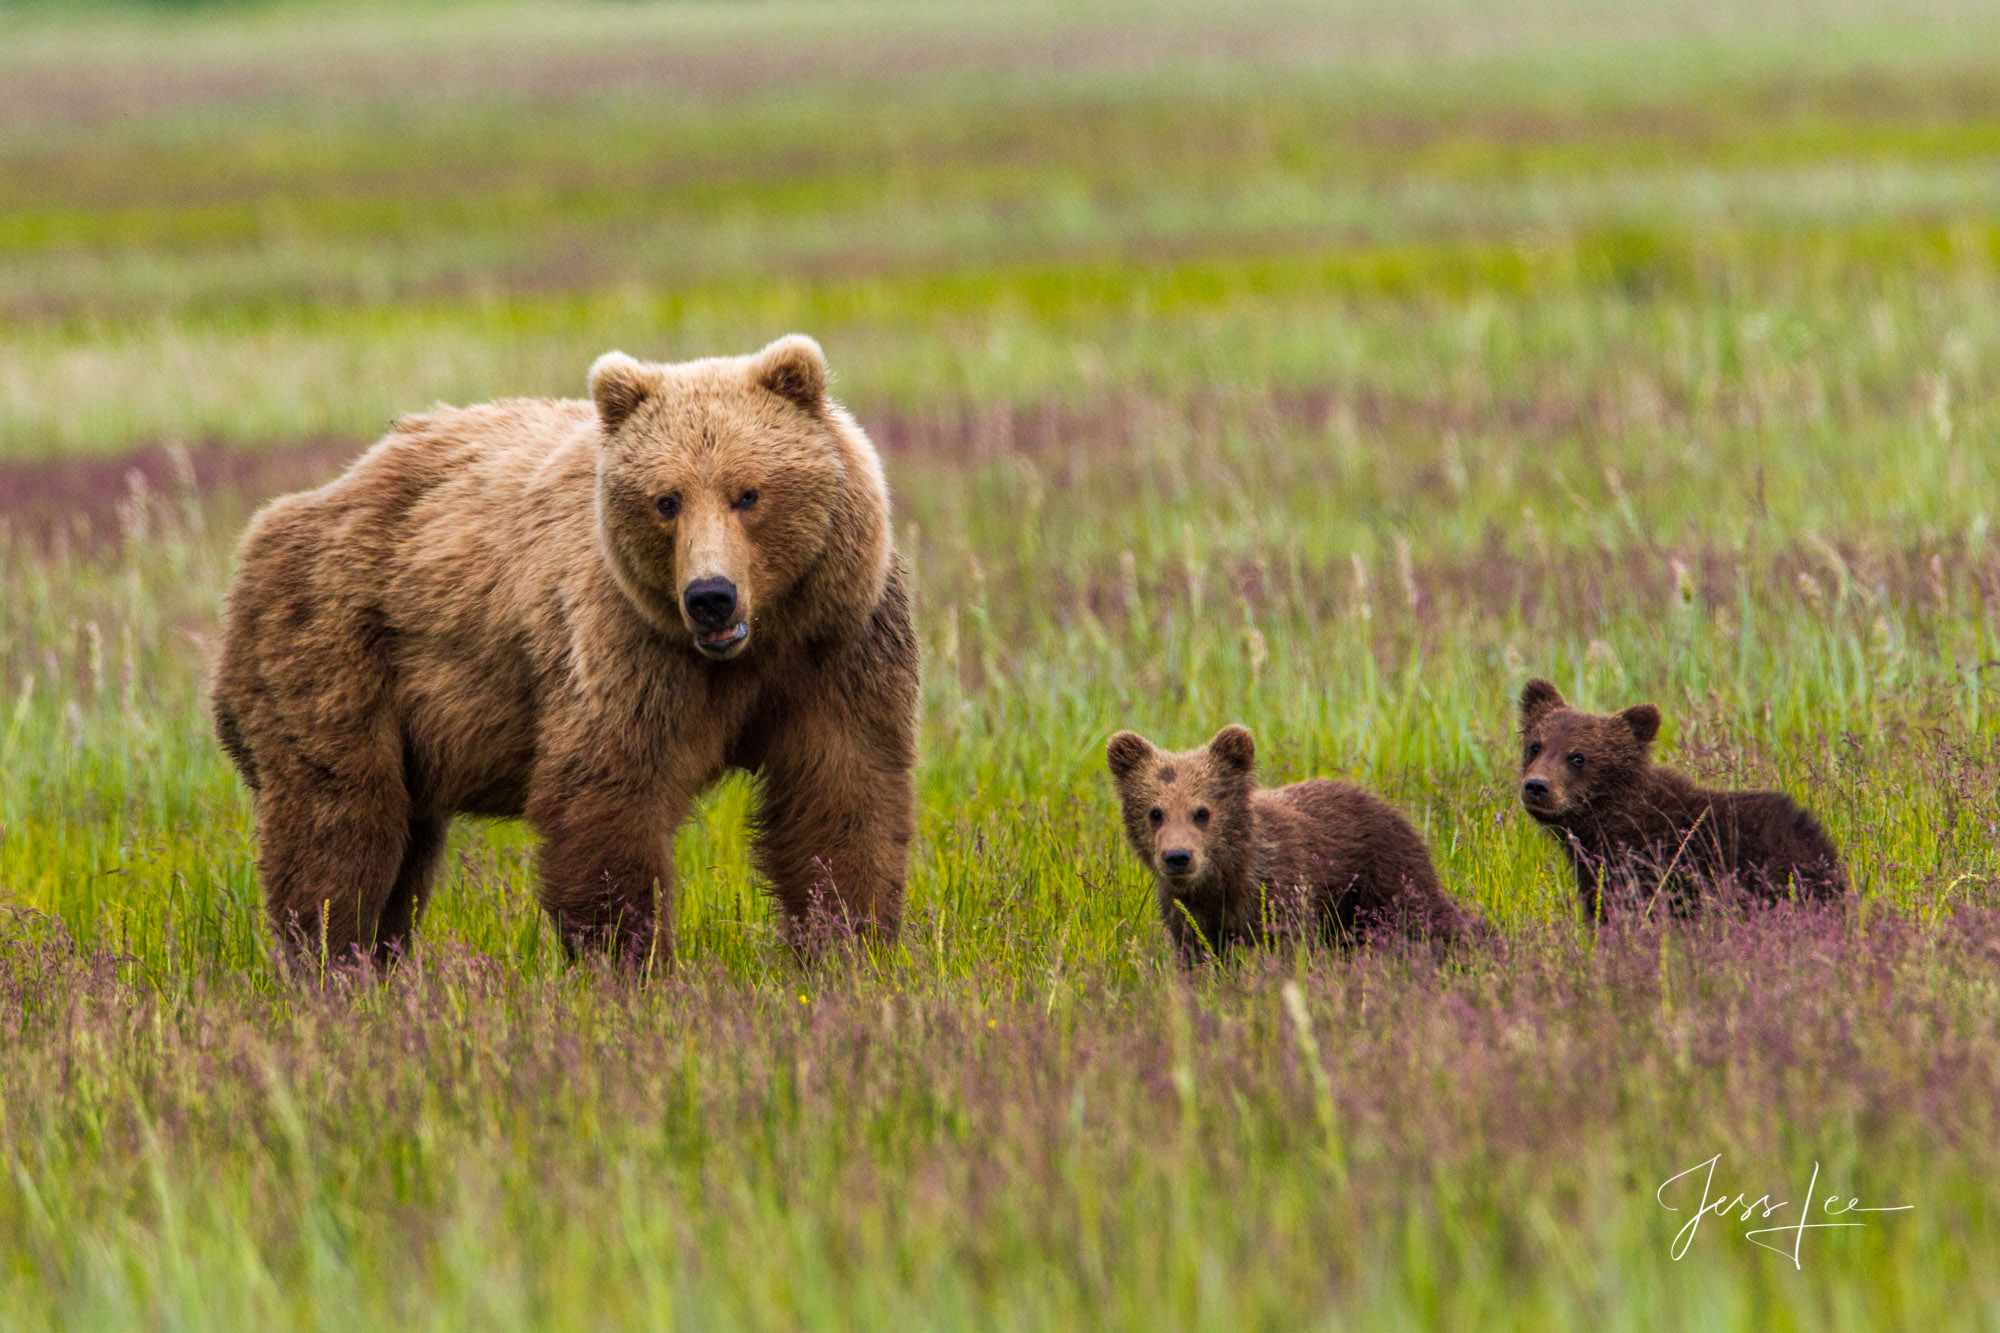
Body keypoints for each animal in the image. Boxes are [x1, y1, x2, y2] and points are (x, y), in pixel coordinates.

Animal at [209, 332, 916, 964]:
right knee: (343, 828)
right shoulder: (627, 646)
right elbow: (607, 796)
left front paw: (847, 944)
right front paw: (628, 959)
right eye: (666, 501)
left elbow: (842, 794)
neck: (751, 649)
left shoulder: (838, 647)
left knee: (404, 848)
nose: (710, 595)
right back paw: (329, 960)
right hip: (334, 654)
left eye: (748, 493)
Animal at [1104, 720, 1480, 960]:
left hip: (1386, 880)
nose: (1178, 856)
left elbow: (1288, 948)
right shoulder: (1188, 915)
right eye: (1155, 812)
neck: (1225, 880)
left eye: (1202, 811)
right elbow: (1199, 956)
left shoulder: (1280, 894)